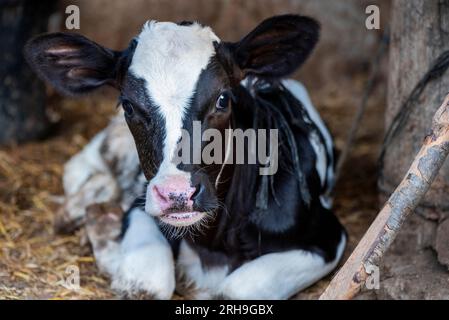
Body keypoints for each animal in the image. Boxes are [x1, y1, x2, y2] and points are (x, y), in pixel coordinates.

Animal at [25, 14, 346, 300]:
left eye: (223, 99)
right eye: (128, 105)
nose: (177, 193)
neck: (213, 242)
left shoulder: (328, 235)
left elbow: (236, 288)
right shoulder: (141, 207)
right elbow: (147, 286)